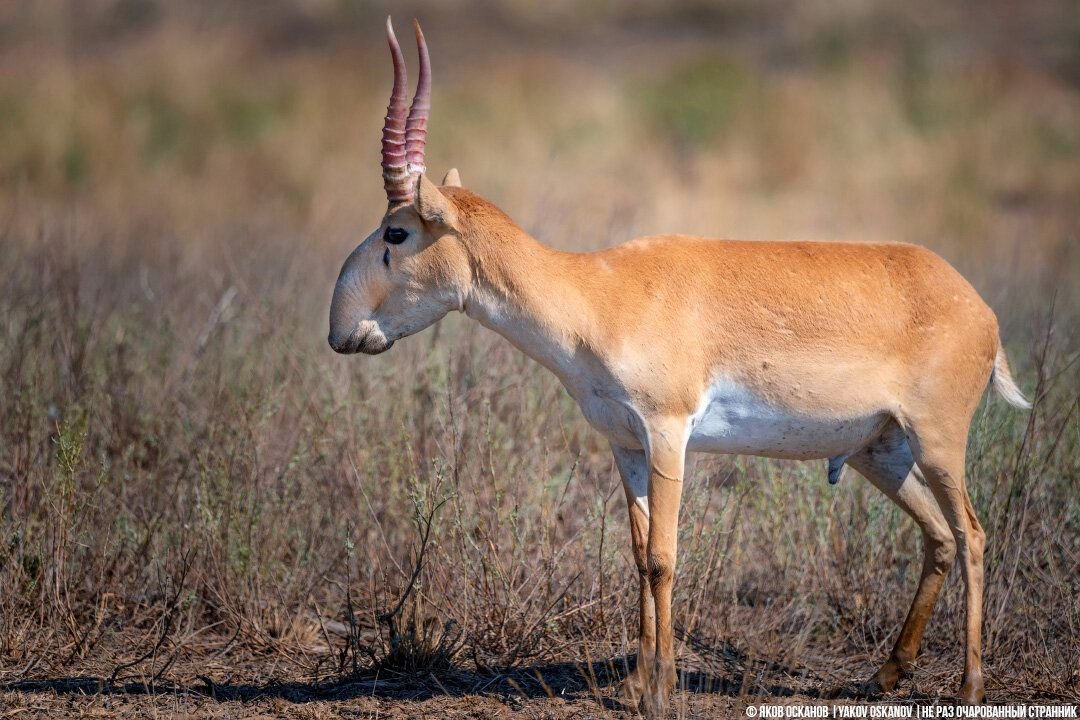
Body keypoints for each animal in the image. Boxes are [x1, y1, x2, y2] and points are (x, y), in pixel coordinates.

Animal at [326, 16, 1028, 716]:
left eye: (396, 232)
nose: (340, 332)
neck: (596, 292)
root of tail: (979, 308)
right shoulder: (625, 444)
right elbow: (639, 557)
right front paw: (637, 683)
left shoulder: (668, 432)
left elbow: (664, 556)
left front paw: (660, 689)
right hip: (878, 452)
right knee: (940, 537)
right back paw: (885, 675)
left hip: (936, 441)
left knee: (972, 535)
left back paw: (969, 686)